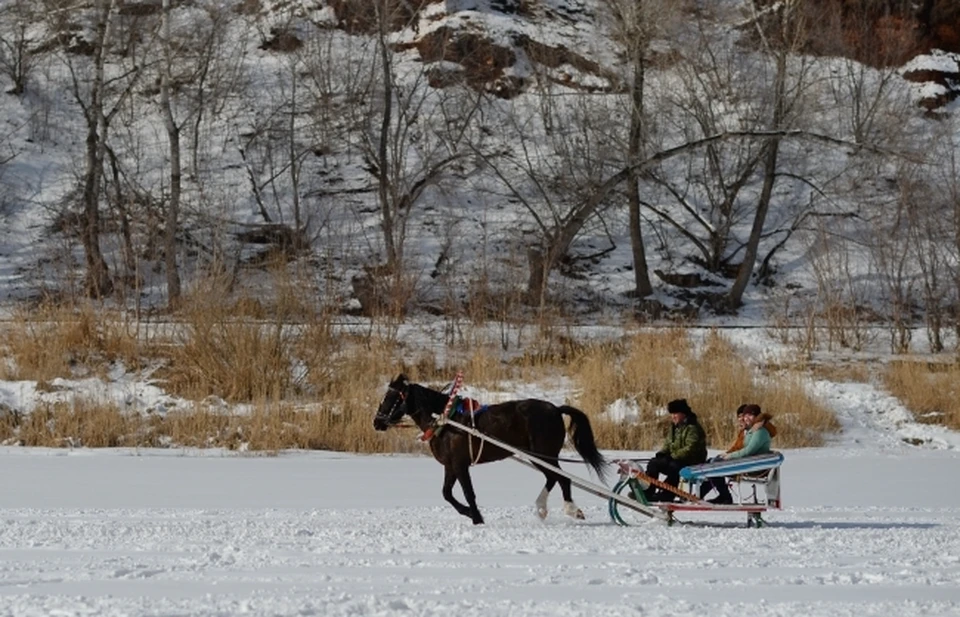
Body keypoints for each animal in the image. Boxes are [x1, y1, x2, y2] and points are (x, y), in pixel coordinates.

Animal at [374, 372, 608, 524]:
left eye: (391, 398)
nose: (377, 422)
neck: (446, 420)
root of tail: (556, 409)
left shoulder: (460, 464)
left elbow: (468, 493)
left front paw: (477, 517)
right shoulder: (450, 465)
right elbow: (446, 494)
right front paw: (469, 513)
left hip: (545, 455)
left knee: (562, 478)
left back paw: (570, 509)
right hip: (538, 456)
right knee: (554, 478)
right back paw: (543, 509)